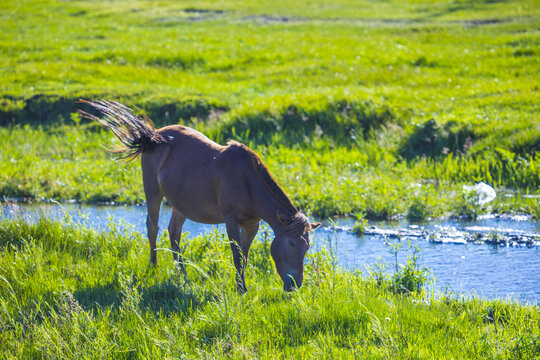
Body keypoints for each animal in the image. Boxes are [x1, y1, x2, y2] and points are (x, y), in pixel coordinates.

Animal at [80, 100, 320, 292]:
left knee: (174, 233)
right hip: (152, 191)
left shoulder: (253, 224)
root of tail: (153, 136)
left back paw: (182, 275)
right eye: (291, 243)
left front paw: (242, 286)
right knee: (152, 227)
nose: (294, 285)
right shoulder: (231, 221)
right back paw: (154, 266)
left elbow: (245, 256)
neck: (248, 182)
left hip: (181, 204)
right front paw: (241, 290)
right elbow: (237, 256)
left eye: (307, 247)